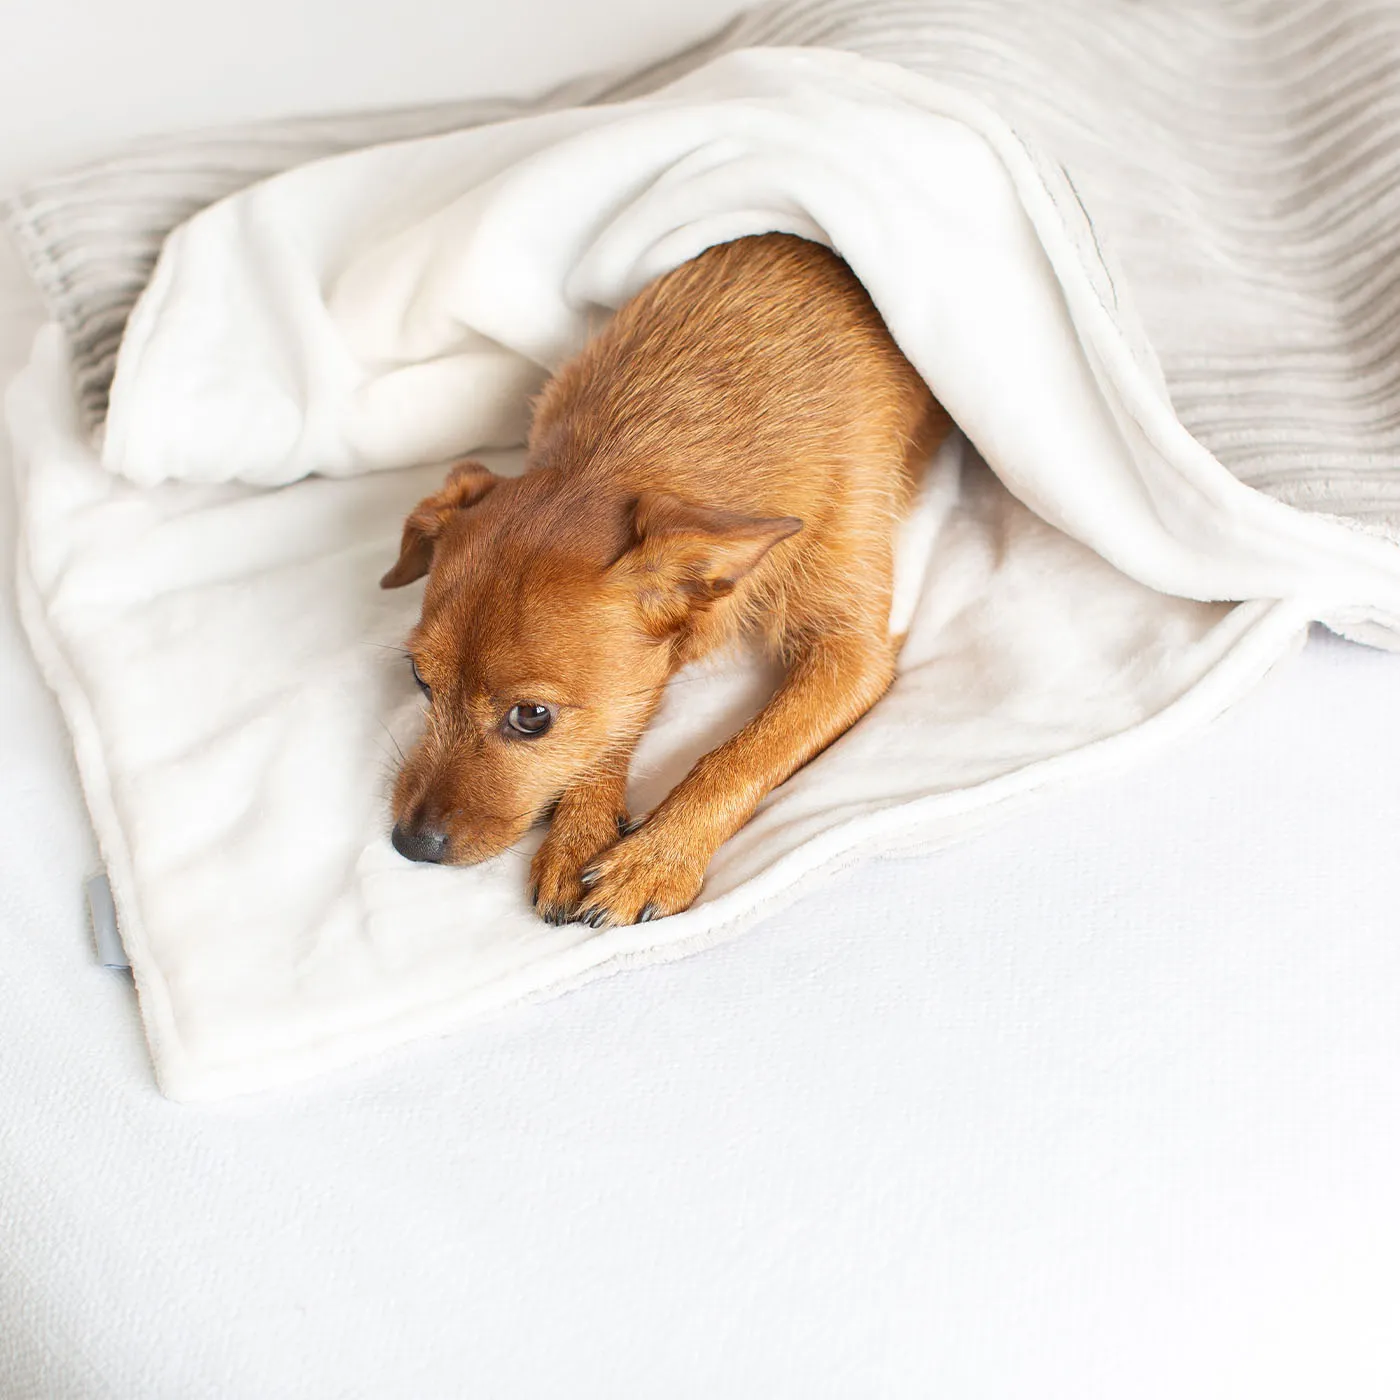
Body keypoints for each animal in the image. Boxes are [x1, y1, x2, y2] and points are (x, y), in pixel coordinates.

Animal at [383, 231, 952, 929]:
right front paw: (580, 833)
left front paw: (654, 858)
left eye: (532, 717)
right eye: (419, 679)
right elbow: (622, 715)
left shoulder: (852, 654)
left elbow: (742, 754)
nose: (409, 845)